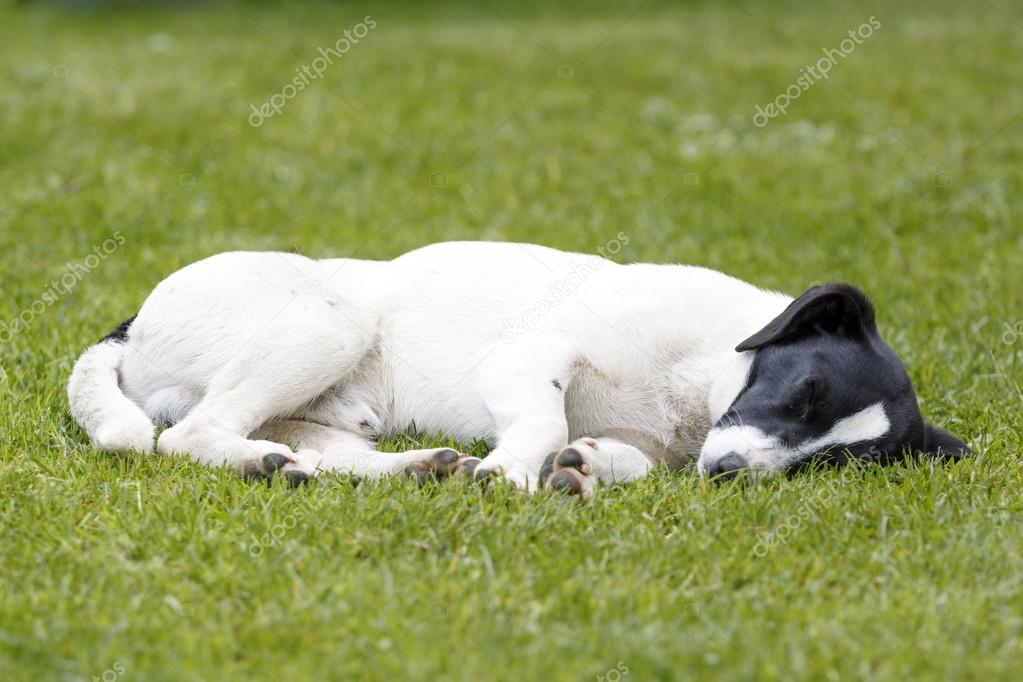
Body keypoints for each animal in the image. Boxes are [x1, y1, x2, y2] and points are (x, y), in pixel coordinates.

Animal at [68, 240, 969, 496]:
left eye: (831, 462)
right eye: (803, 389)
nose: (727, 474)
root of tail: (131, 327)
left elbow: (622, 458)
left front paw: (584, 467)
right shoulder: (531, 355)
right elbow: (540, 417)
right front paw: (513, 472)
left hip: (333, 407)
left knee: (324, 452)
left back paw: (394, 466)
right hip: (326, 322)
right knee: (188, 434)